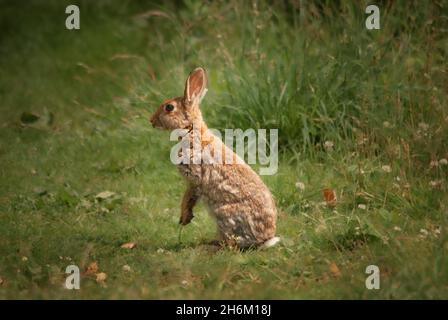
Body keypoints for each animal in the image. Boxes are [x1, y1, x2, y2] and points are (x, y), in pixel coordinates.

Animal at [150, 67, 278, 248]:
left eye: (169, 107)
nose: (151, 121)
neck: (191, 131)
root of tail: (266, 239)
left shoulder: (195, 177)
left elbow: (189, 196)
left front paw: (184, 217)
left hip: (224, 215)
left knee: (232, 244)